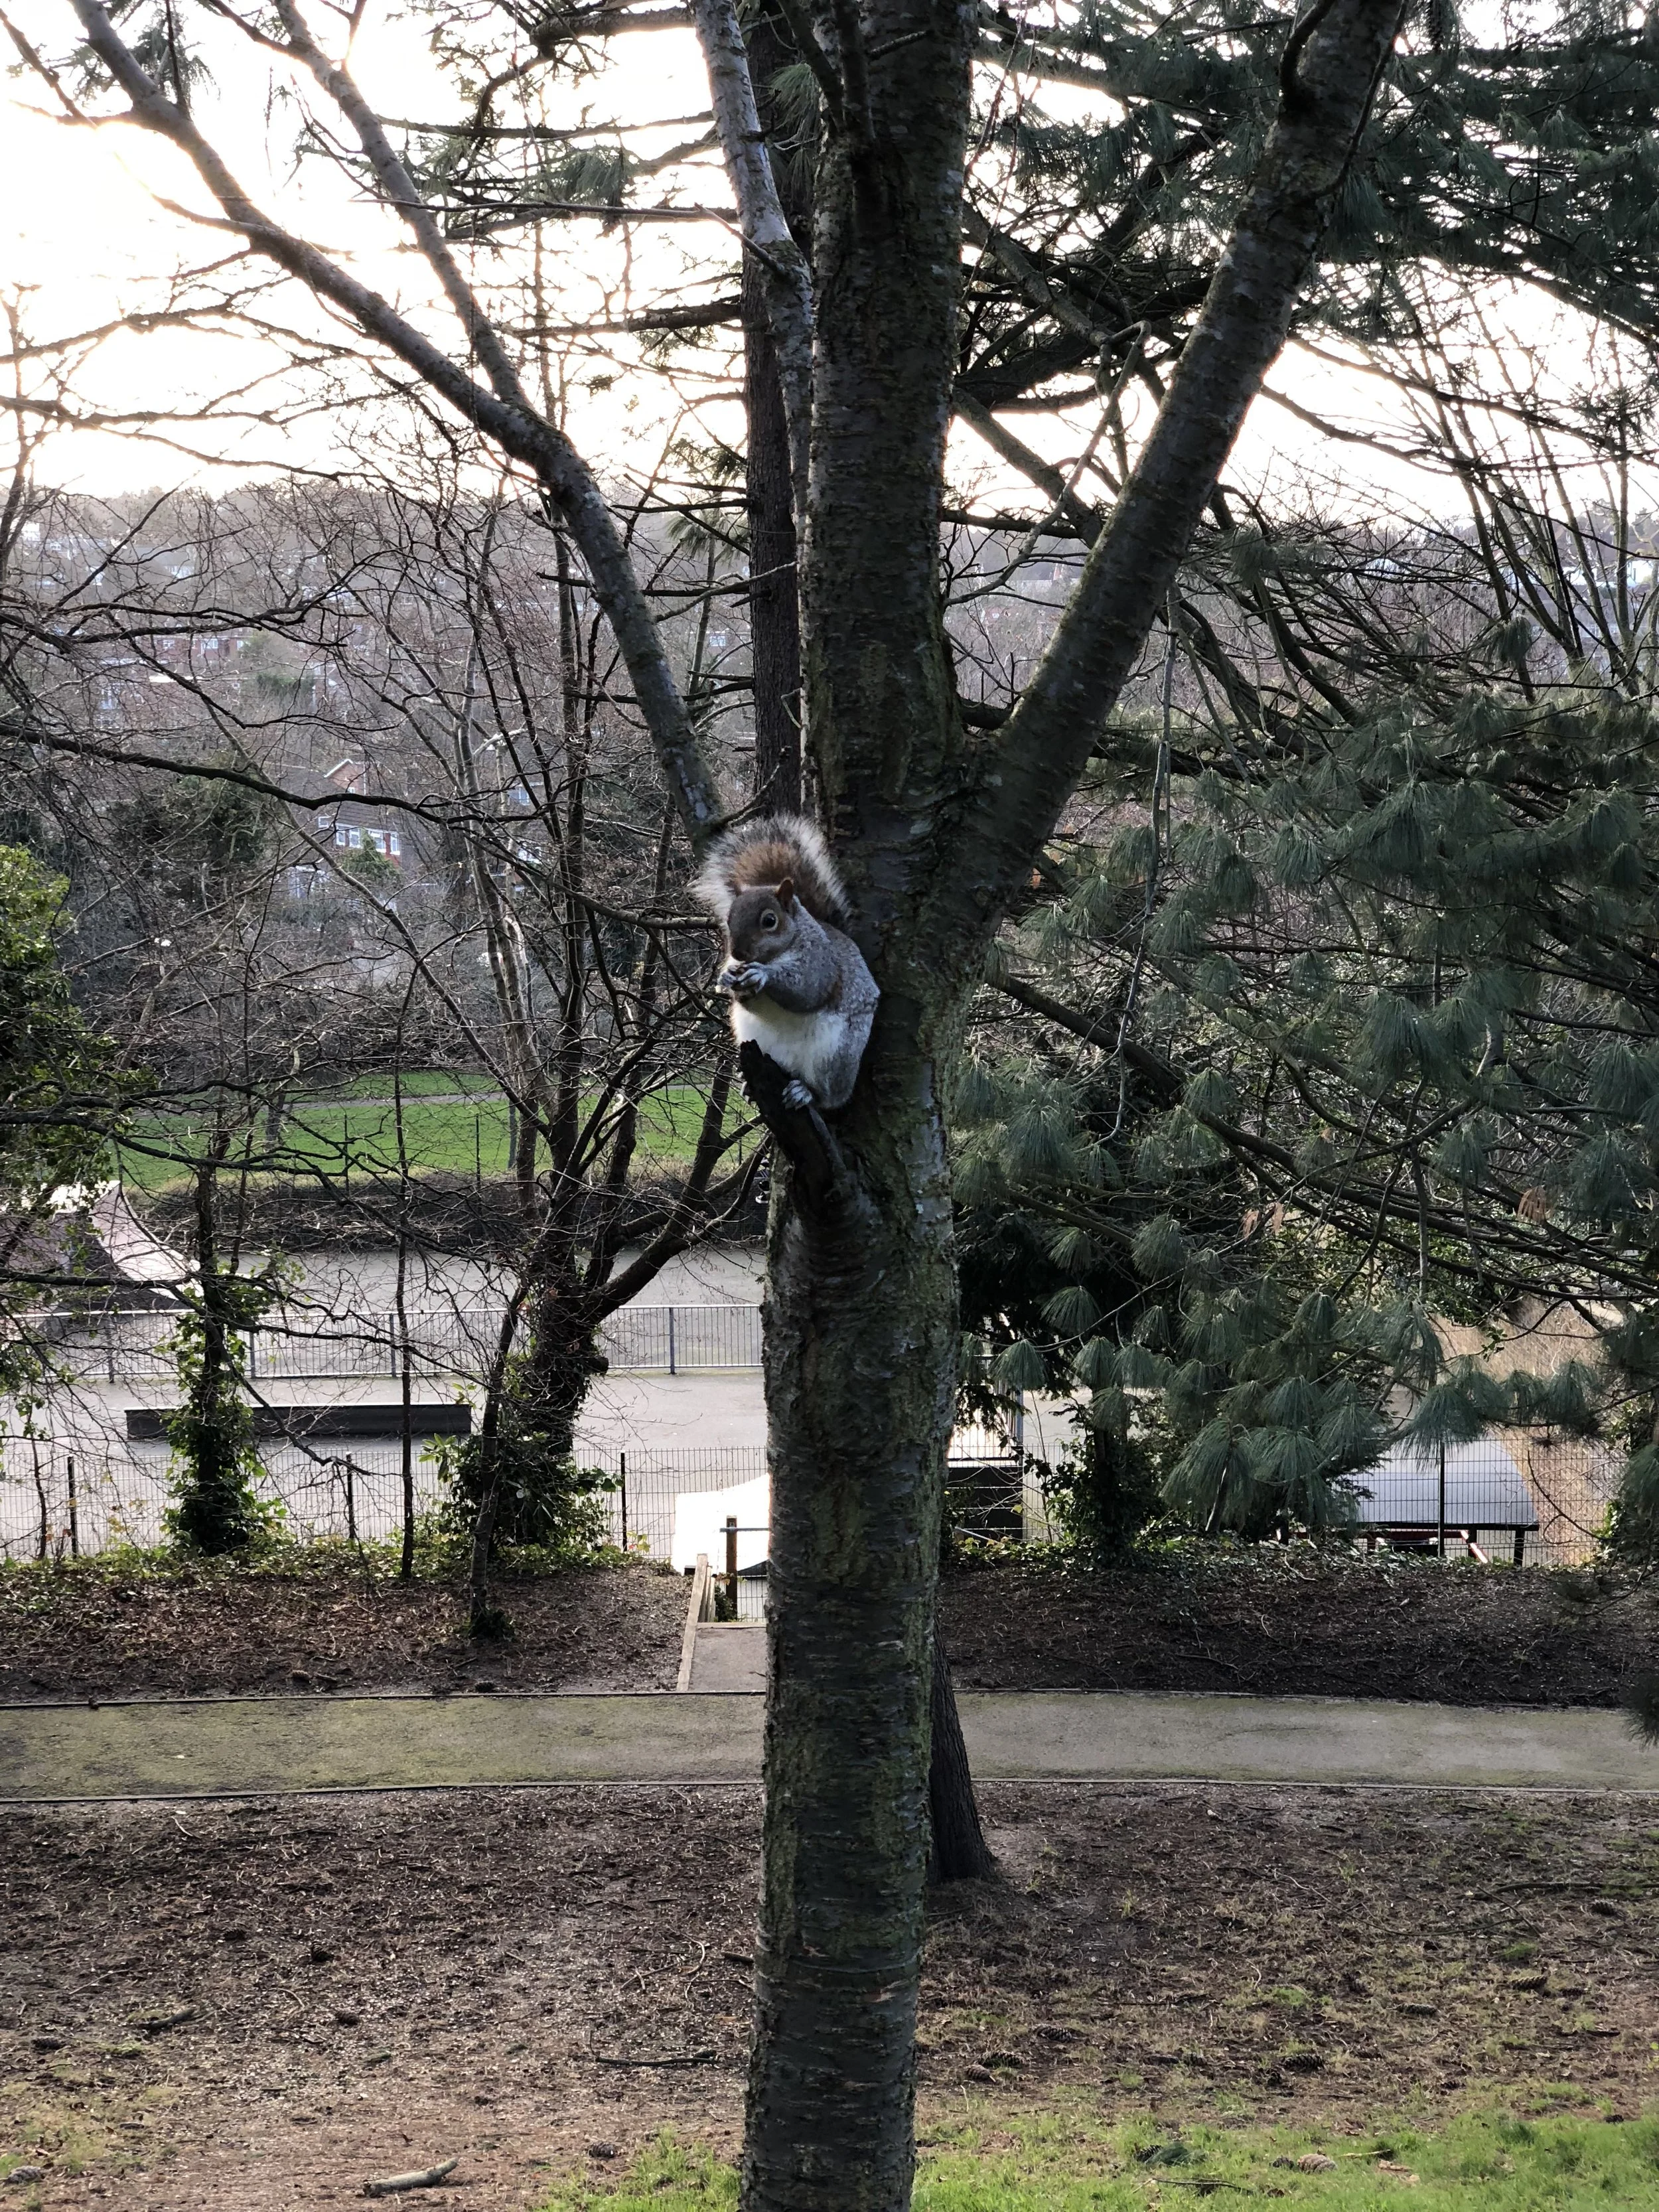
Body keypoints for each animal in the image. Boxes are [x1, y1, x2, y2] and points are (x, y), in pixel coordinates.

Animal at [693, 813, 879, 1112]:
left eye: (770, 921)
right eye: (729, 919)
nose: (739, 953)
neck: (777, 953)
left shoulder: (821, 961)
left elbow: (807, 990)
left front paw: (762, 974)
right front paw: (727, 979)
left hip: (834, 1057)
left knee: (828, 1096)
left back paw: (806, 1093)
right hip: (758, 1043)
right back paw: (749, 1087)